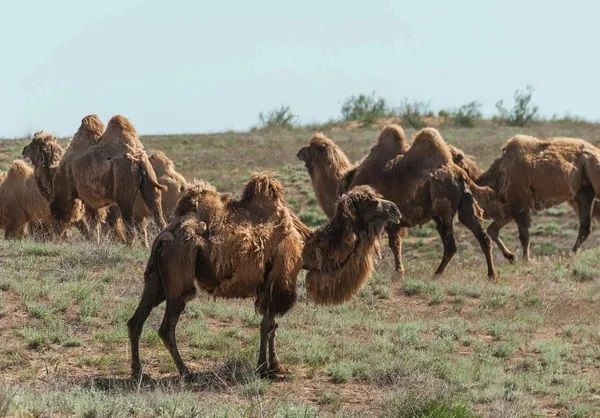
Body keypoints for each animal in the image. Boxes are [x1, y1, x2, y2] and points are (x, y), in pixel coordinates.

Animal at [49, 115, 165, 245]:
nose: (55, 236)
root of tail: (139, 159)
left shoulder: (86, 194)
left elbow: (93, 221)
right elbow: (95, 222)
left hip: (123, 180)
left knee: (129, 221)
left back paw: (128, 245)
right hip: (150, 182)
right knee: (158, 213)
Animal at [127, 173, 400, 378]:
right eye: (370, 200)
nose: (395, 209)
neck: (306, 246)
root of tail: (164, 236)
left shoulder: (269, 284)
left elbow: (271, 326)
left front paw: (274, 366)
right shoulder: (280, 281)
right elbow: (267, 325)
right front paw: (265, 368)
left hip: (156, 281)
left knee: (136, 320)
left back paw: (139, 372)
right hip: (178, 279)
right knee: (167, 327)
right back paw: (185, 371)